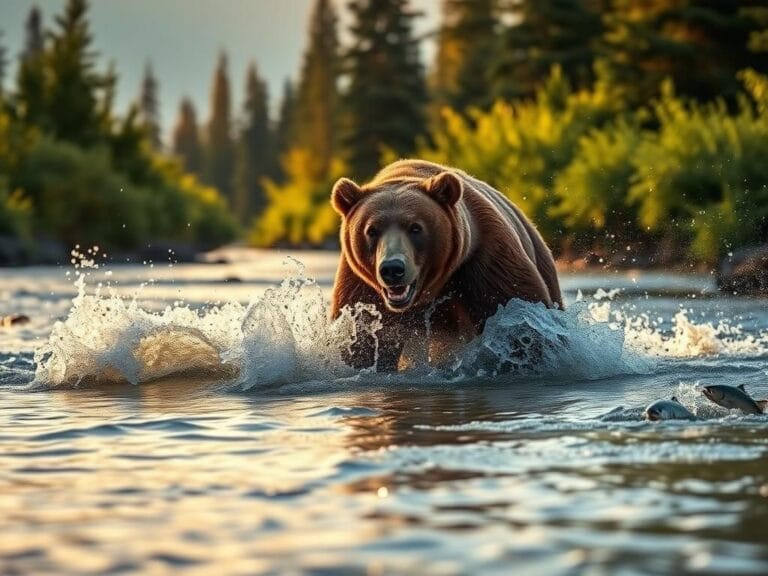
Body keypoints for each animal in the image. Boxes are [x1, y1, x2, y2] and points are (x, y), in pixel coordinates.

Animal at [330, 159, 563, 371]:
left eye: (415, 227)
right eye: (371, 230)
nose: (392, 268)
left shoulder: (486, 260)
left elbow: (519, 316)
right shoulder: (362, 288)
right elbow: (362, 338)